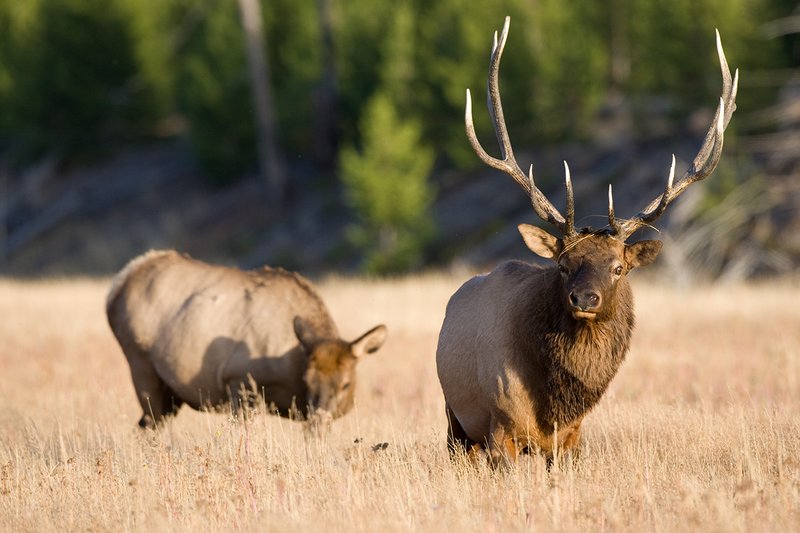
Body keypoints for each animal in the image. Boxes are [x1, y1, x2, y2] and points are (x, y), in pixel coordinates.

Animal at [106, 250, 387, 430]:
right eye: (308, 380)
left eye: (345, 384)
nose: (321, 416)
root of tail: (116, 287)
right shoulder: (239, 382)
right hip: (141, 365)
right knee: (149, 423)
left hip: (171, 390)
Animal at [436, 16, 737, 465]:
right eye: (563, 265)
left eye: (619, 267)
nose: (584, 298)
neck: (554, 404)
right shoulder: (500, 430)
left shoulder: (572, 439)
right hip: (456, 420)